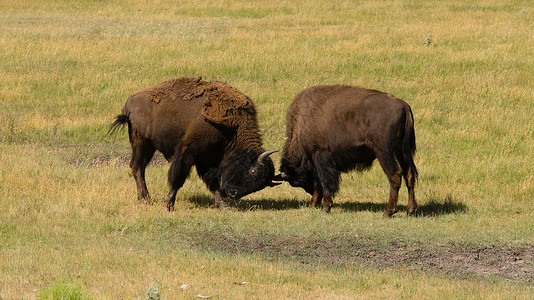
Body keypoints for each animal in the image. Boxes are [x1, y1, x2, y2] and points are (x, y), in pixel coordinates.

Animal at [111, 77, 282, 211]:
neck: (233, 127)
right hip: (141, 143)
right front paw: (168, 206)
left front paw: (223, 205)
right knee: (137, 167)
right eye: (253, 171)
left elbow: (213, 183)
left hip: (148, 146)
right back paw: (145, 201)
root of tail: (130, 101)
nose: (233, 193)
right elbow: (178, 178)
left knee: (139, 167)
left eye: (260, 185)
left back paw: (146, 199)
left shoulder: (207, 160)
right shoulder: (188, 152)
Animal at [278, 83, 420, 217]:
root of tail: (402, 105)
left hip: (384, 152)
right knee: (409, 175)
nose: (314, 202)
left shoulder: (321, 157)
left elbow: (325, 182)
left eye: (299, 180)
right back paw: (411, 210)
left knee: (395, 175)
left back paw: (388, 212)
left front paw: (325, 208)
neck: (301, 122)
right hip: (401, 151)